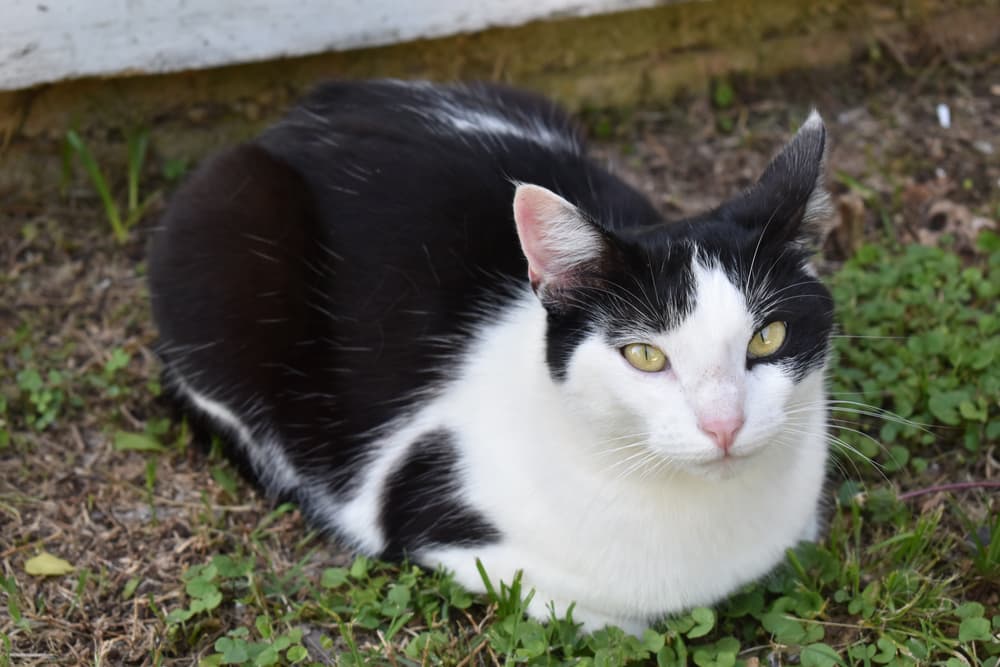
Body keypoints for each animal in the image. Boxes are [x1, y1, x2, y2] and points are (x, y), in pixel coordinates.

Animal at [148, 81, 836, 636]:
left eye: (767, 338)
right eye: (644, 355)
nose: (724, 425)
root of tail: (295, 117)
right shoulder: (441, 523)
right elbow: (602, 617)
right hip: (224, 233)